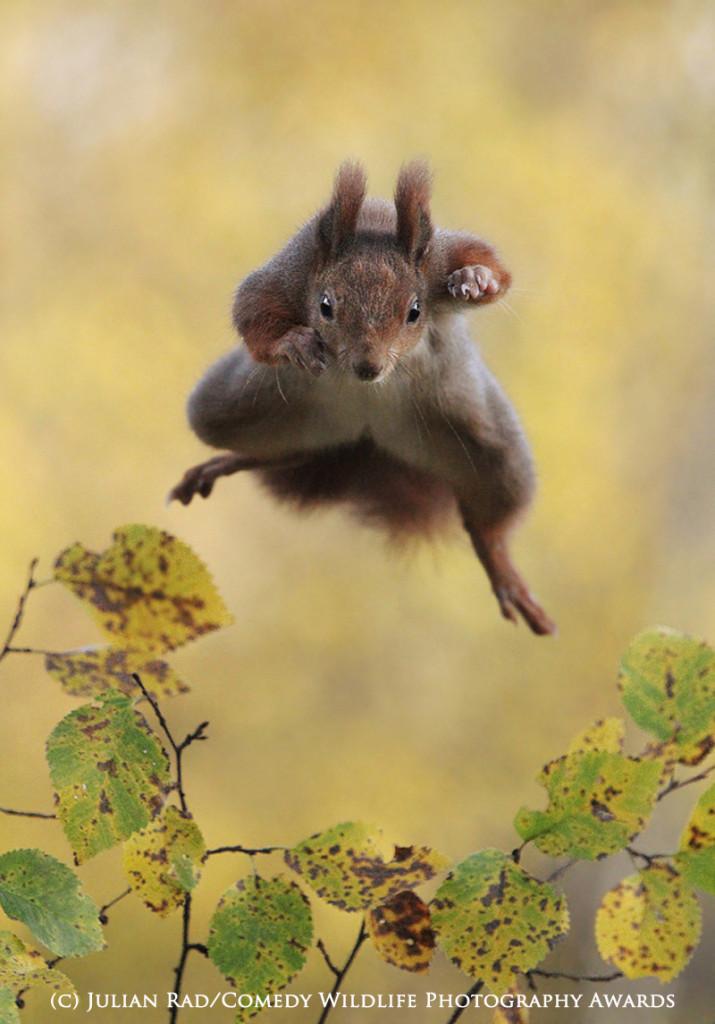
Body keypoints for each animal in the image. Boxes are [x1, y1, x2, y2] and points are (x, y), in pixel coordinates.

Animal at [170, 160, 553, 634]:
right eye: (325, 306)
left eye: (415, 312)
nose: (368, 368)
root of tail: (366, 438)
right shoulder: (289, 273)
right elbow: (251, 311)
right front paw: (293, 343)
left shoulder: (440, 257)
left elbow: (490, 263)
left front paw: (475, 279)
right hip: (232, 410)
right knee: (284, 452)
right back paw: (228, 462)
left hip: (490, 447)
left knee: (489, 522)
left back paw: (500, 566)